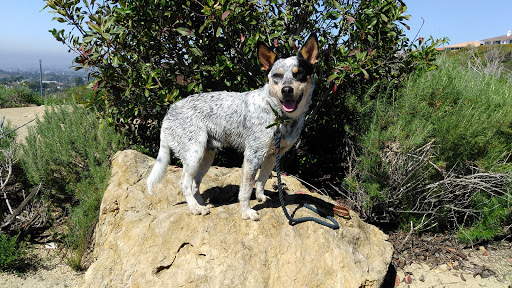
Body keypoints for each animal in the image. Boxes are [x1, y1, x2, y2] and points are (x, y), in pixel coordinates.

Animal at [146, 35, 318, 222]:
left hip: (206, 157)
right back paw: (196, 208)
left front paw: (261, 197)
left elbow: (262, 179)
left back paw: (202, 203)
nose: (287, 90)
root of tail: (169, 111)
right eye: (276, 76)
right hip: (194, 154)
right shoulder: (253, 155)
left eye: (299, 73)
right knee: (184, 183)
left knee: (195, 184)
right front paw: (246, 212)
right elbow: (246, 189)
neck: (277, 114)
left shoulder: (273, 155)